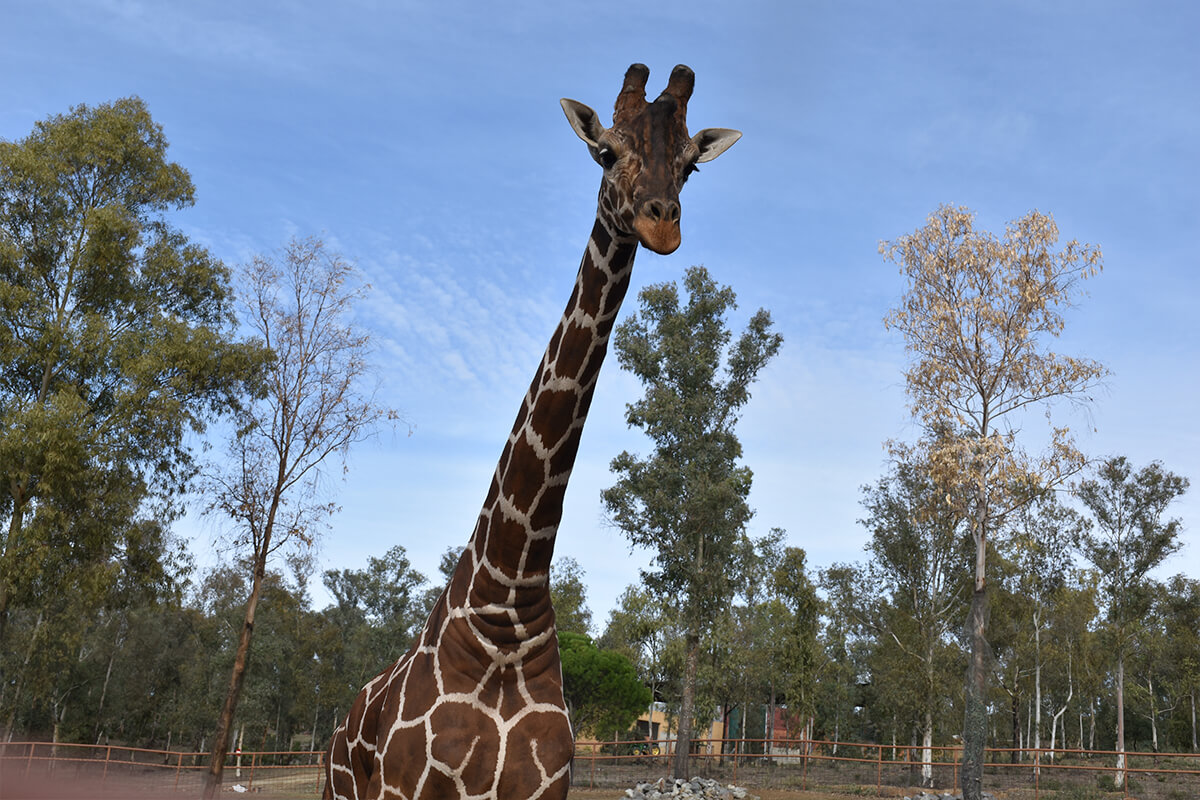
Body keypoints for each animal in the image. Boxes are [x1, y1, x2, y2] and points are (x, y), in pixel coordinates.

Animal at [328, 64, 739, 800]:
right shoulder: (407, 788)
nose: (661, 224)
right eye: (605, 151)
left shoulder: (544, 785)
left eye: (690, 166)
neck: (505, 609)